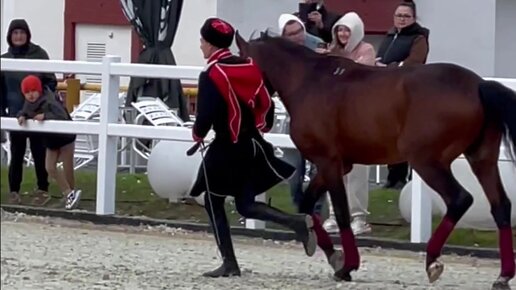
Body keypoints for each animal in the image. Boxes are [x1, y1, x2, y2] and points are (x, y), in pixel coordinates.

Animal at [235, 31, 516, 288]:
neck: (309, 82)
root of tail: (477, 84)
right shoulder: (337, 164)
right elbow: (306, 205)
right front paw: (333, 256)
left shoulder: (329, 162)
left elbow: (341, 211)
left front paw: (347, 265)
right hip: (481, 159)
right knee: (500, 206)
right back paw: (503, 275)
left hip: (427, 161)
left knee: (460, 199)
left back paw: (433, 261)